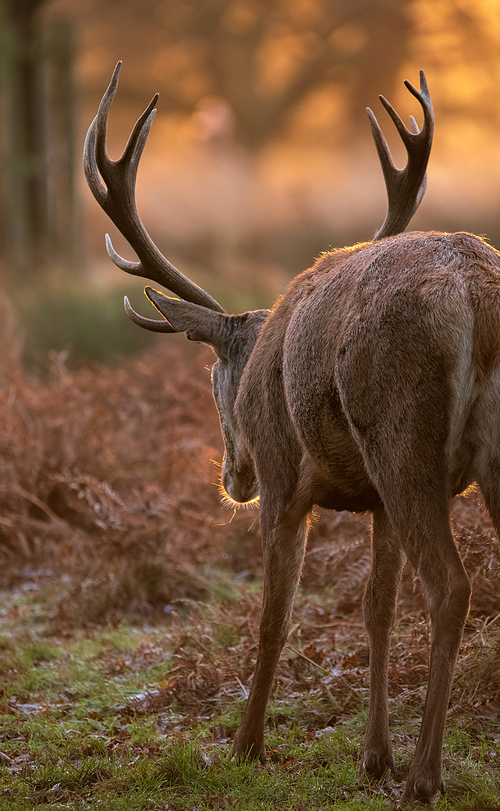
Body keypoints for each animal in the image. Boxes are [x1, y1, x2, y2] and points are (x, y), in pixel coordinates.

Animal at [85, 61, 500, 800]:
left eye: (212, 376)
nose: (232, 477)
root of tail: (474, 292)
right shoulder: (374, 501)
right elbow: (375, 607)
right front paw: (371, 756)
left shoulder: (285, 475)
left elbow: (274, 615)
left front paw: (244, 745)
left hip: (404, 443)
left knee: (450, 586)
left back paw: (425, 777)